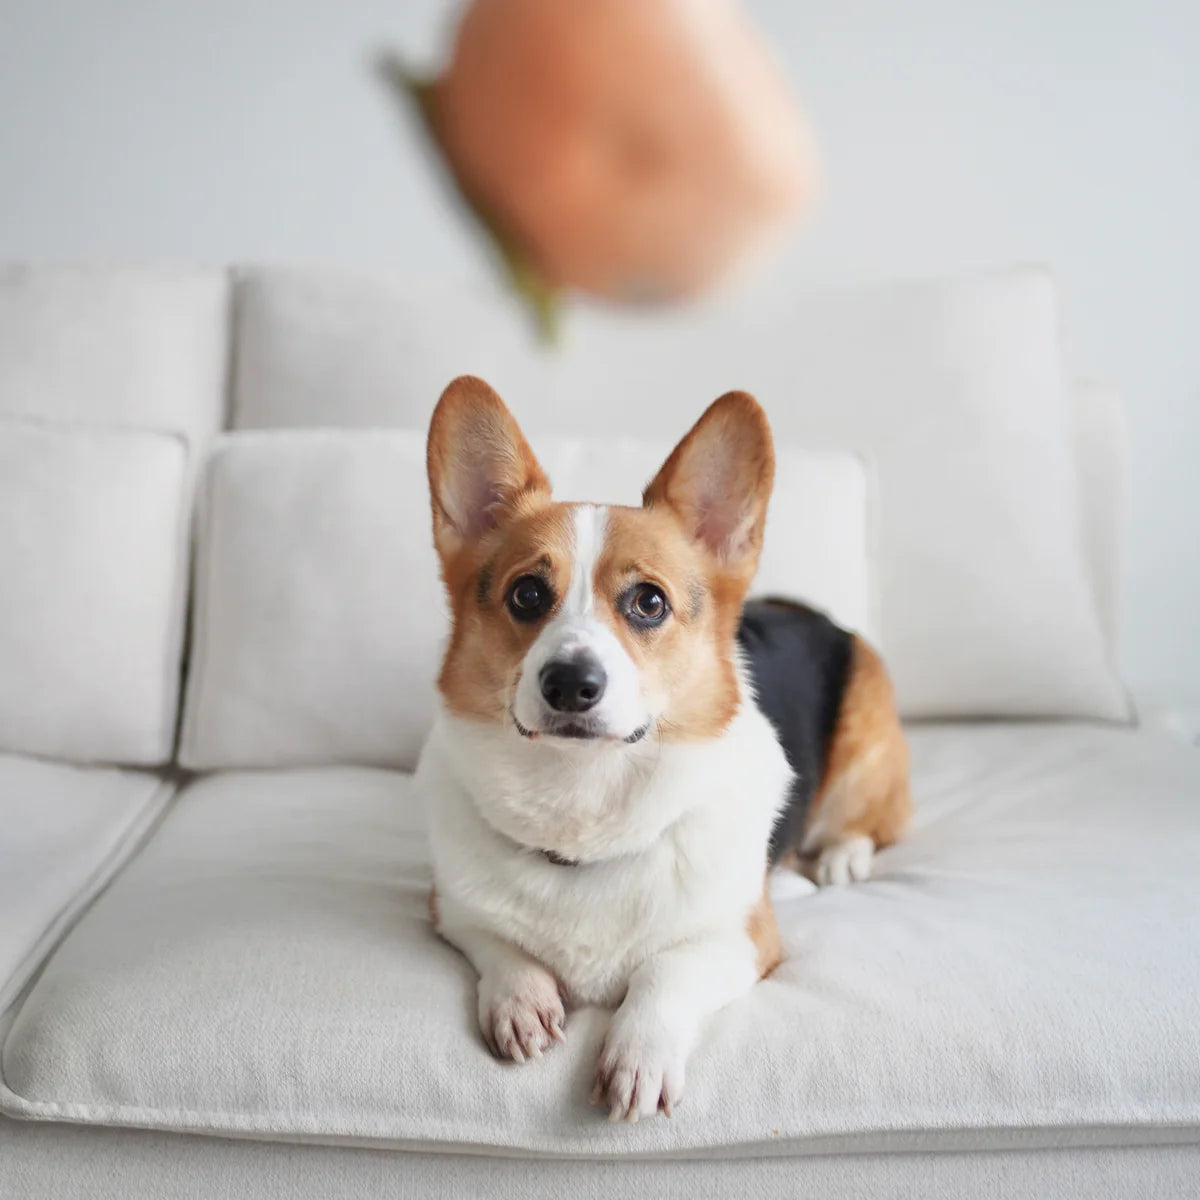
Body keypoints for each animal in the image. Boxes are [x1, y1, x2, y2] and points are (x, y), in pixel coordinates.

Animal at [417, 376, 902, 1123]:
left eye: (648, 602)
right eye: (526, 594)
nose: (571, 684)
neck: (583, 805)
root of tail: (808, 612)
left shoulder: (739, 941)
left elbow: (665, 971)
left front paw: (637, 1053)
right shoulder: (450, 909)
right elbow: (499, 944)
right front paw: (520, 1000)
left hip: (865, 744)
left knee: (869, 822)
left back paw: (838, 857)